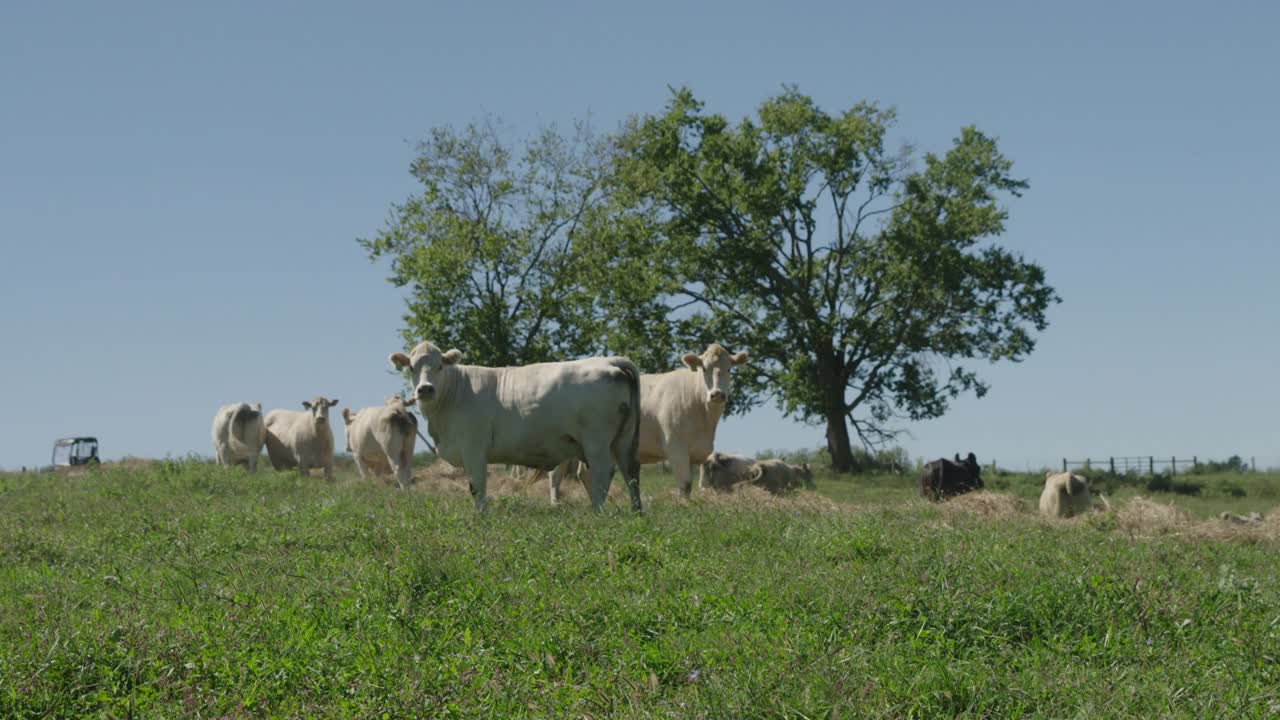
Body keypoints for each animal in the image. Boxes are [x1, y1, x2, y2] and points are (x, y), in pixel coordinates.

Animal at [386, 340, 640, 509]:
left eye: (440, 366)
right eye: (412, 367)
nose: (425, 389)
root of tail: (608, 360)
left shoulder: (474, 449)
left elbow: (477, 486)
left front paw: (480, 517)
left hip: (596, 442)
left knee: (603, 471)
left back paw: (597, 510)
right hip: (624, 439)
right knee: (631, 471)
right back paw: (636, 510)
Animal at [545, 343, 747, 502]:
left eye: (729, 369)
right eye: (704, 369)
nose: (717, 394)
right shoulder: (676, 447)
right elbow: (685, 484)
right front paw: (685, 507)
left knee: (586, 473)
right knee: (556, 474)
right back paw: (556, 504)